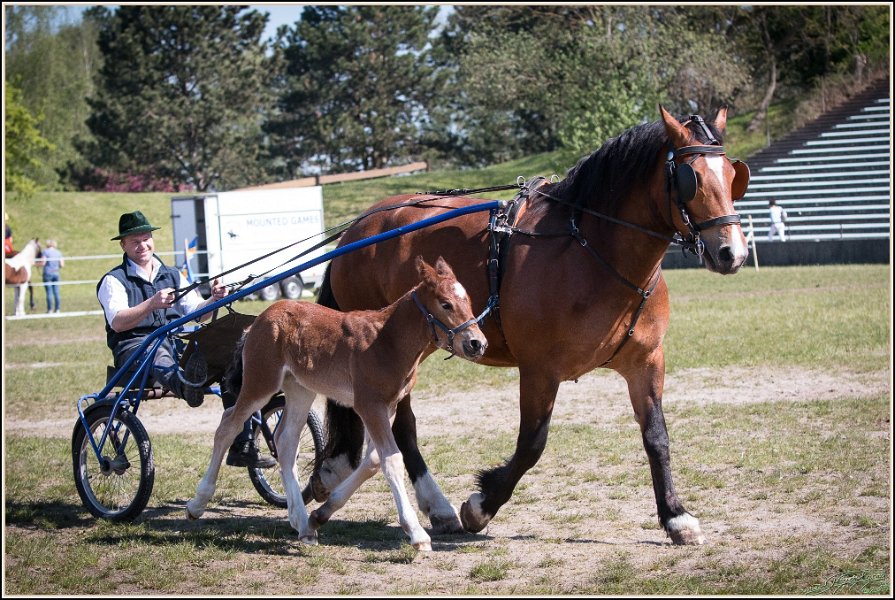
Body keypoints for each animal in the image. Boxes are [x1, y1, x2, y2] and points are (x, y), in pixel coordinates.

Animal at [187, 256, 487, 551]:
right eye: (445, 304)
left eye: (469, 300)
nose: (477, 343)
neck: (388, 341)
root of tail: (259, 320)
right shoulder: (369, 405)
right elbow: (391, 460)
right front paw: (417, 534)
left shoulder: (388, 406)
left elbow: (374, 460)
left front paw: (320, 514)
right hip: (261, 382)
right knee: (228, 425)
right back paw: (197, 504)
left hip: (300, 389)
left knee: (285, 441)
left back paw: (302, 524)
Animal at [308, 106, 751, 546]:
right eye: (691, 178)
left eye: (732, 174)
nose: (732, 252)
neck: (591, 251)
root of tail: (360, 227)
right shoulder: (540, 369)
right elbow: (532, 443)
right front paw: (481, 505)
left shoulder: (646, 362)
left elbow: (656, 436)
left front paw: (676, 515)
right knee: (404, 425)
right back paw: (438, 505)